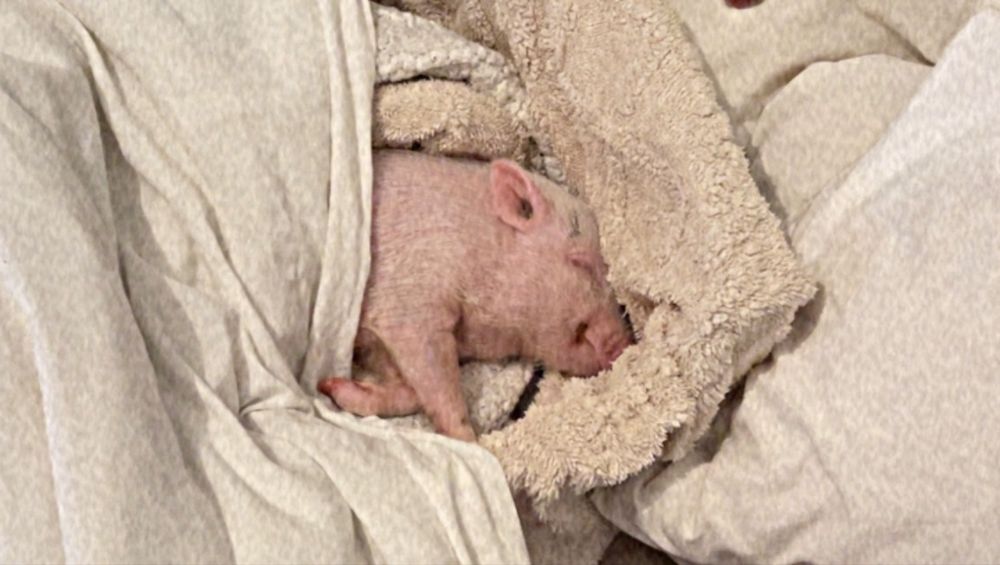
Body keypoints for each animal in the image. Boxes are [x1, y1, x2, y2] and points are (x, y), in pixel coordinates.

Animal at [317, 150, 632, 442]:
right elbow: (435, 374)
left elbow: (408, 388)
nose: (624, 343)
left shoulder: (377, 341)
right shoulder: (409, 298)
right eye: (580, 261)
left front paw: (331, 386)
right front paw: (472, 444)